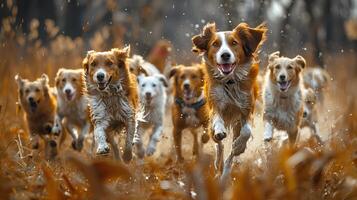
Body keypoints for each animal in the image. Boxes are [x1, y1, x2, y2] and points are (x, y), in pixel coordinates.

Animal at [191, 22, 266, 179]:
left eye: (234, 43)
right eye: (215, 44)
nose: (225, 55)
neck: (230, 81)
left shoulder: (246, 110)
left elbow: (246, 132)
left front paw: (239, 146)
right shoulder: (215, 105)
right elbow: (218, 121)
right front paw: (220, 130)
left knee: (230, 156)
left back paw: (225, 173)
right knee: (219, 146)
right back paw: (218, 164)